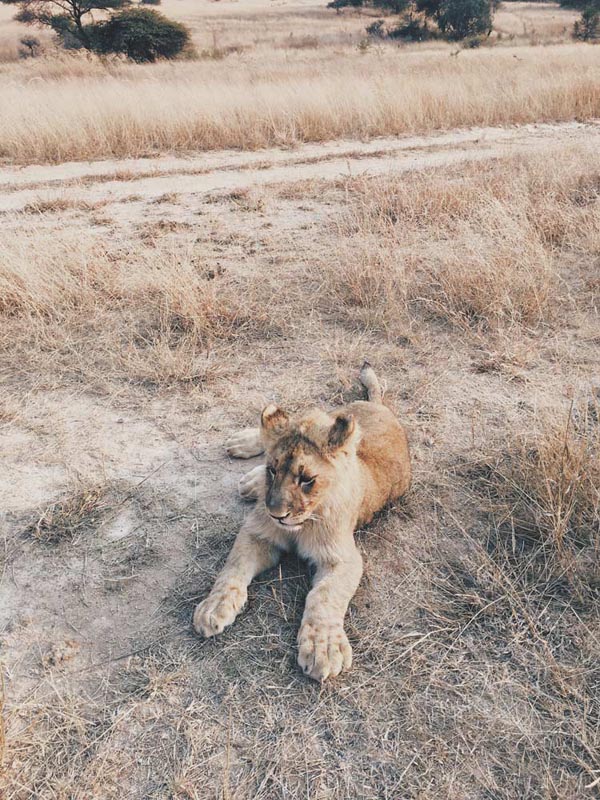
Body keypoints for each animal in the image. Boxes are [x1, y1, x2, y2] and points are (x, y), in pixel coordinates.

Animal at [192, 363, 411, 682]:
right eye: (273, 470)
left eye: (306, 479)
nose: (276, 513)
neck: (303, 523)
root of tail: (380, 407)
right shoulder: (257, 533)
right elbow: (231, 570)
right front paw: (214, 606)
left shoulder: (343, 559)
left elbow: (324, 596)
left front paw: (324, 648)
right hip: (330, 415)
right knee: (279, 423)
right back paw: (245, 452)